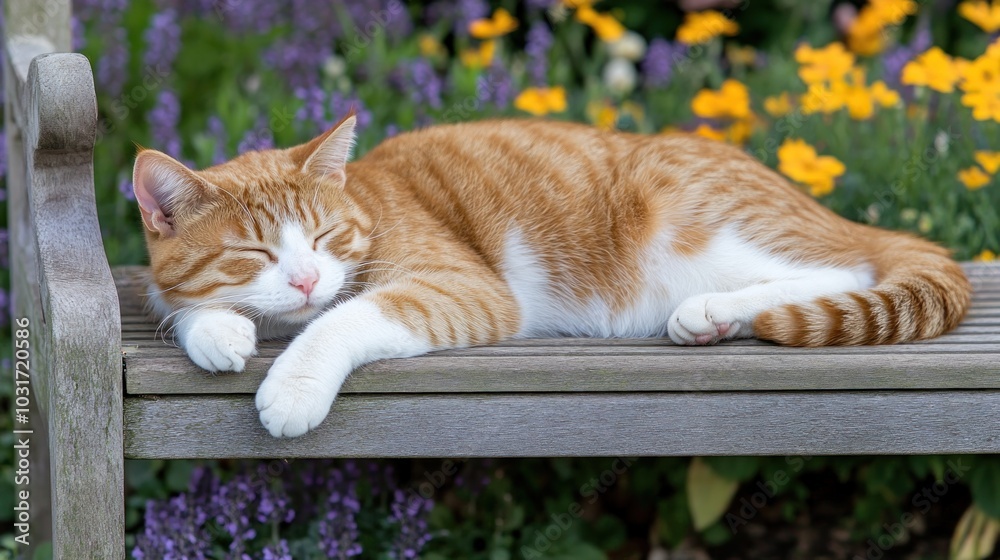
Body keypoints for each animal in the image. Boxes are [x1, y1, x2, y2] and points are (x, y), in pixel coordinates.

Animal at [131, 112, 968, 438]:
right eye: (256, 255)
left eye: (328, 236)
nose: (306, 279)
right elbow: (180, 303)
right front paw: (217, 332)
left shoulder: (461, 286)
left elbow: (347, 316)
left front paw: (293, 384)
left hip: (697, 222)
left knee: (841, 267)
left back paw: (713, 310)